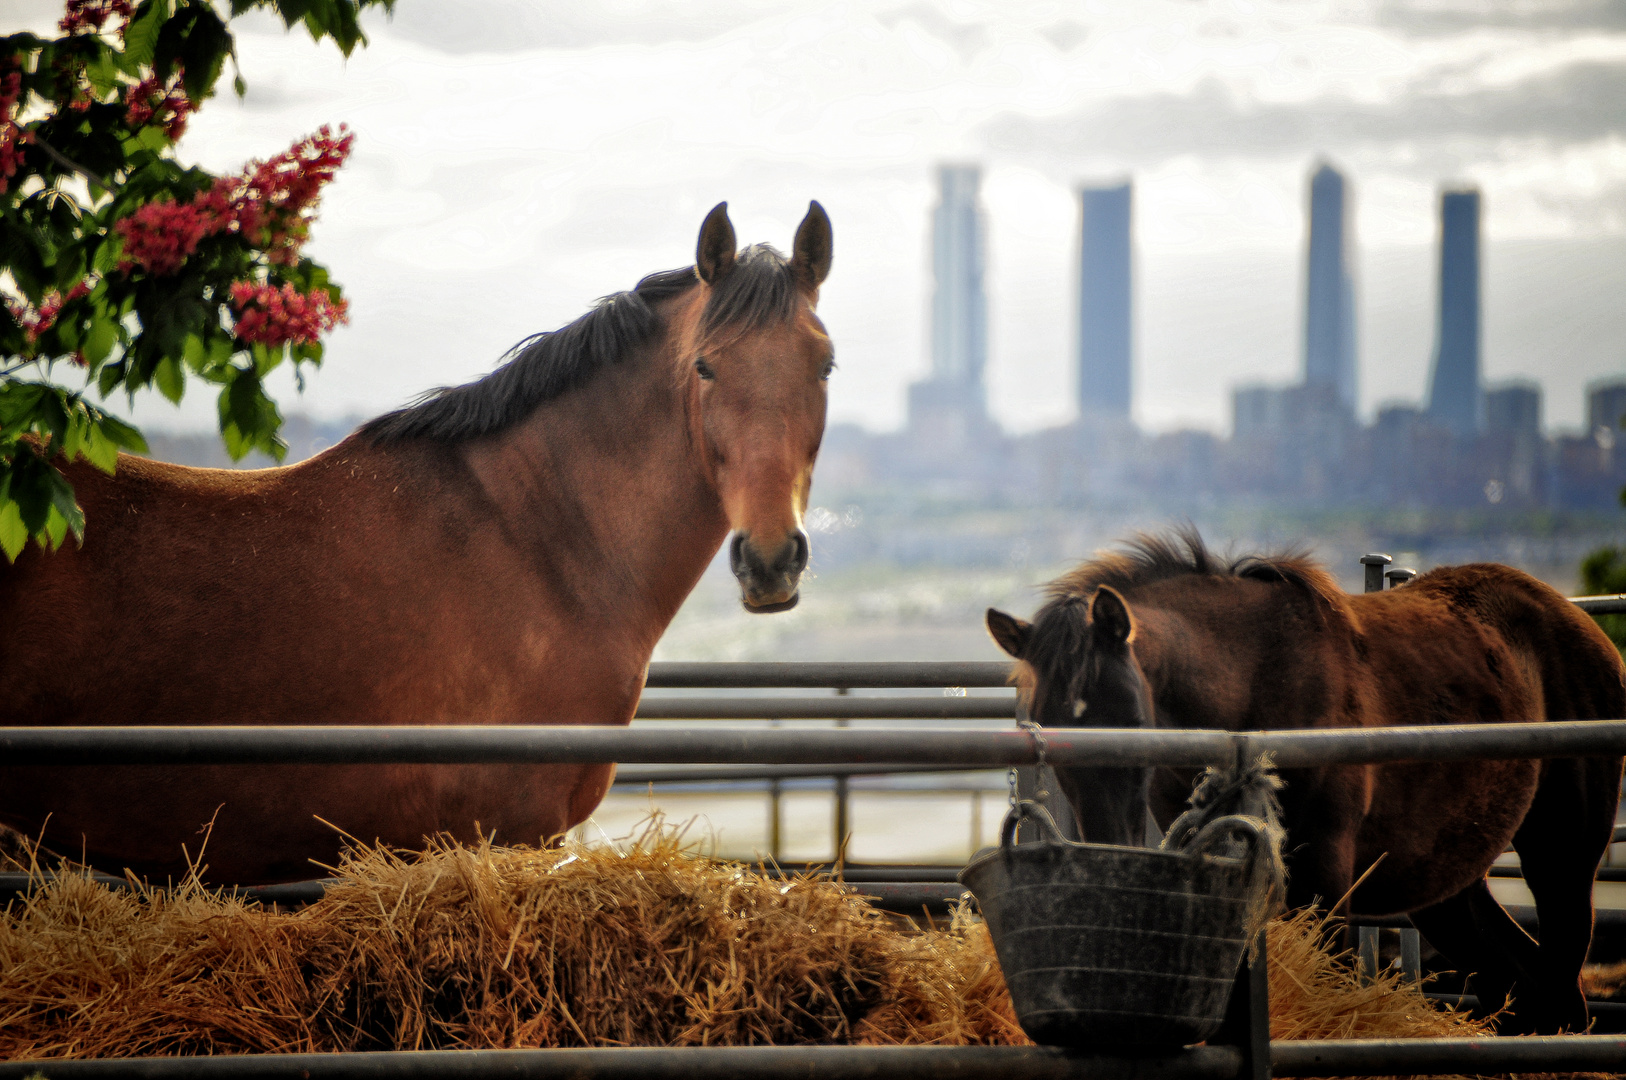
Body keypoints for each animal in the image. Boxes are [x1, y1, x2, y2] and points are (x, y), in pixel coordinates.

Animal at [982, 526, 1626, 1034]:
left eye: (1137, 723)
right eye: (1045, 726)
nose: (1108, 845)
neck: (1253, 688)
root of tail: (1583, 626)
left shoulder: (1325, 873)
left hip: (1562, 853)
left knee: (1564, 988)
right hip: (1446, 881)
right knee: (1518, 982)